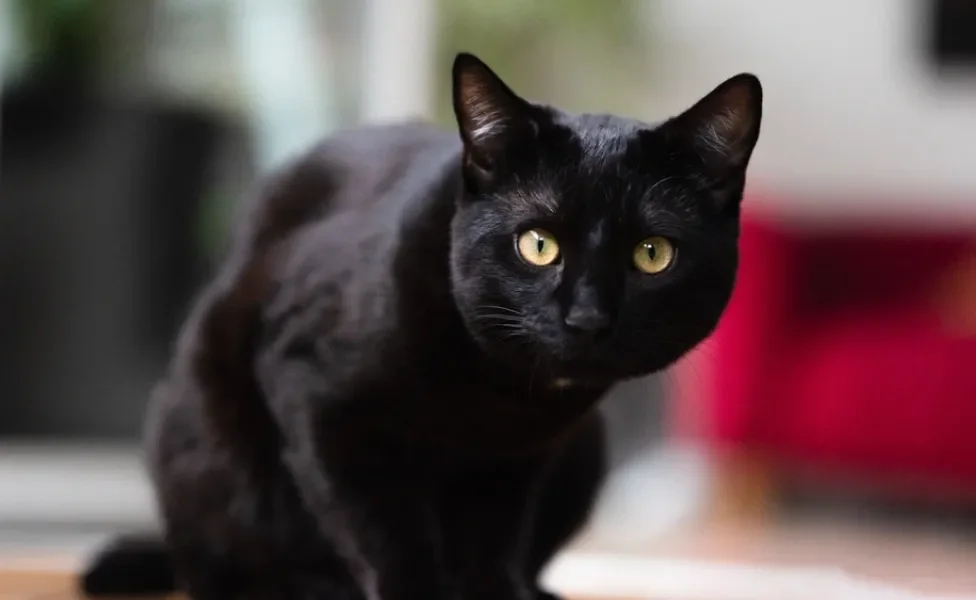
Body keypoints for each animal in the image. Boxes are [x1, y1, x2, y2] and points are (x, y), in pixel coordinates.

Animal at [80, 52, 760, 600]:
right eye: (538, 244)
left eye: (652, 254)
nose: (588, 315)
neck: (503, 396)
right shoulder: (317, 399)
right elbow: (385, 530)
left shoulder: (514, 460)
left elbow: (491, 542)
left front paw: (499, 595)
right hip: (199, 429)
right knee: (225, 561)